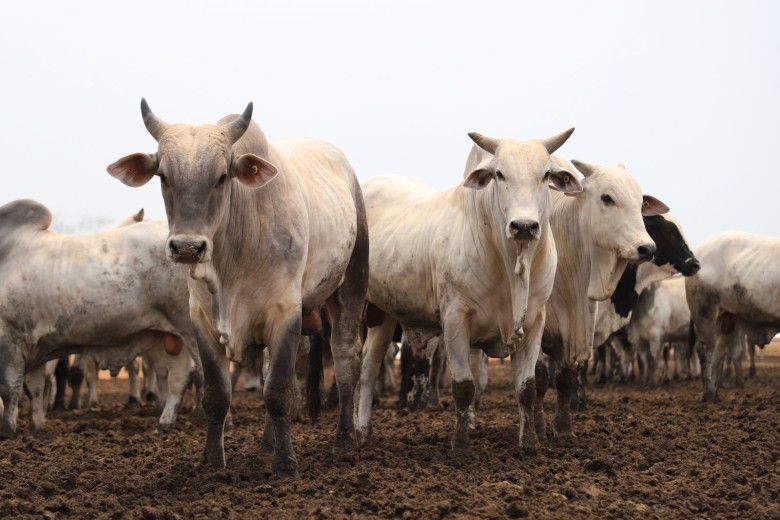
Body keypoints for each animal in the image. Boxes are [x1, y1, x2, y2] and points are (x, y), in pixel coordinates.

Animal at [0, 199, 204, 434]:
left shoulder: (10, 340)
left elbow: (9, 389)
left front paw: (8, 430)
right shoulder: (35, 345)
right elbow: (34, 388)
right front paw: (37, 426)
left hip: (190, 330)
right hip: (170, 337)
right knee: (179, 376)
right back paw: (165, 422)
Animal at [356, 127, 580, 450]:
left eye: (546, 174)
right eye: (499, 174)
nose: (524, 226)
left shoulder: (534, 323)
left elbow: (526, 388)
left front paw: (529, 443)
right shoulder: (455, 319)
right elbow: (463, 387)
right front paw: (460, 444)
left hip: (386, 313)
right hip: (367, 311)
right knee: (366, 370)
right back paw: (360, 430)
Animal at [688, 232, 780, 402]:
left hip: (726, 320)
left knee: (718, 352)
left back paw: (715, 392)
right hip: (704, 311)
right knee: (705, 349)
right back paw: (708, 393)